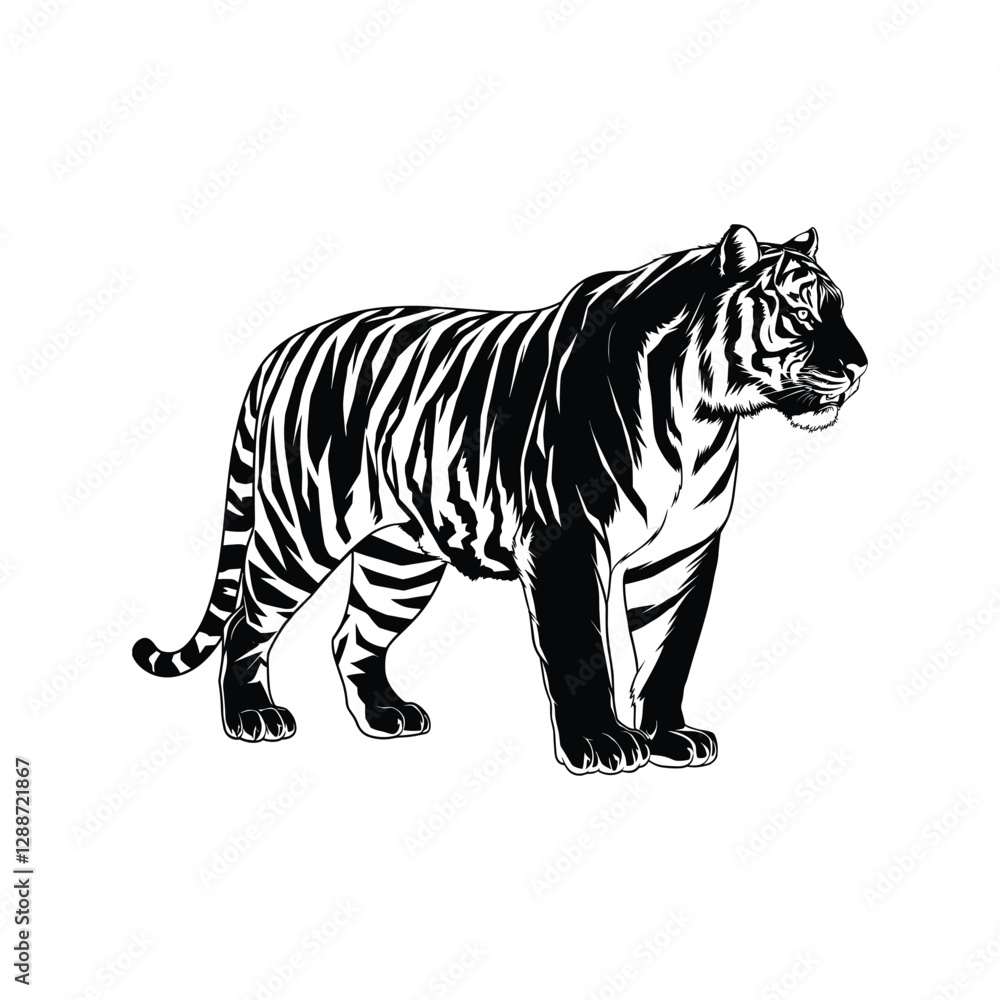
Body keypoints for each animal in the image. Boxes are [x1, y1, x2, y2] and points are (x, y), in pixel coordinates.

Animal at [133, 224, 867, 775]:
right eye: (800, 313)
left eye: (839, 307)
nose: (860, 364)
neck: (700, 415)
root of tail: (281, 350)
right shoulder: (567, 538)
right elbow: (580, 649)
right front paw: (601, 744)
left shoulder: (683, 553)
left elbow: (668, 649)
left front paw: (668, 737)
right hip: (301, 531)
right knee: (245, 621)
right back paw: (252, 717)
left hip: (400, 558)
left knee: (353, 636)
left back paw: (386, 715)